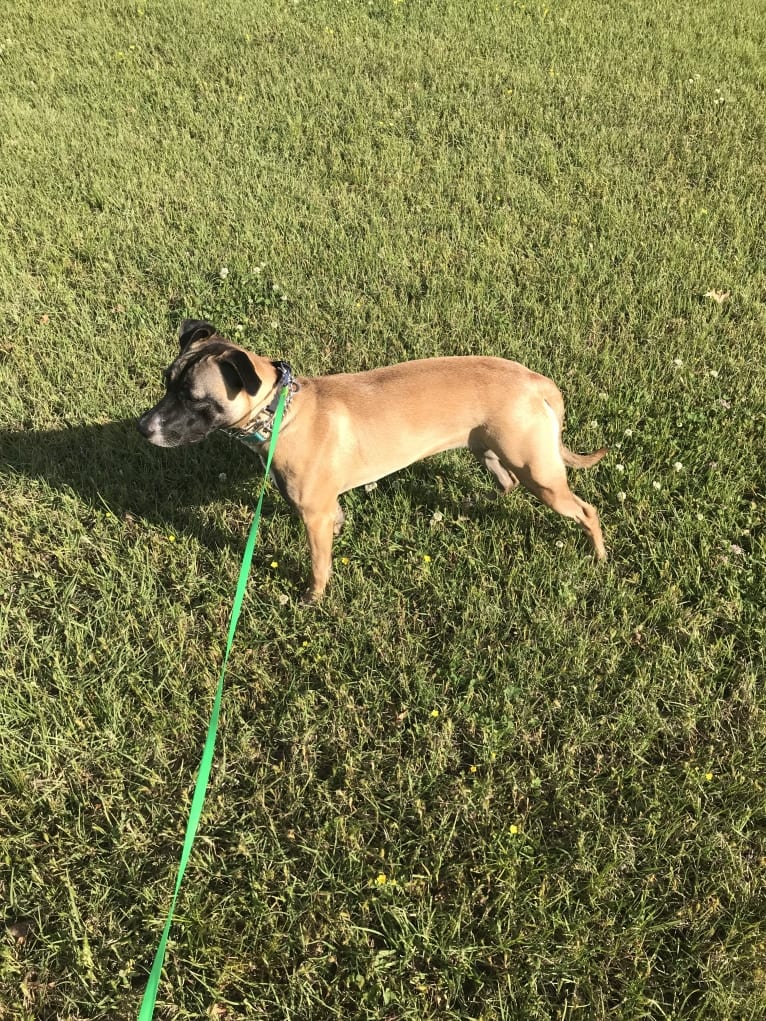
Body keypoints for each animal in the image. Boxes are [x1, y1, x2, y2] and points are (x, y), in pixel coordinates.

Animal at [136, 320, 604, 596]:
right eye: (166, 381)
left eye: (193, 397)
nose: (143, 428)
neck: (282, 411)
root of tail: (536, 381)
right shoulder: (326, 507)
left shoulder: (314, 516)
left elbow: (319, 566)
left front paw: (313, 598)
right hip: (487, 448)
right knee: (505, 483)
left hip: (539, 473)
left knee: (587, 510)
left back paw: (598, 556)